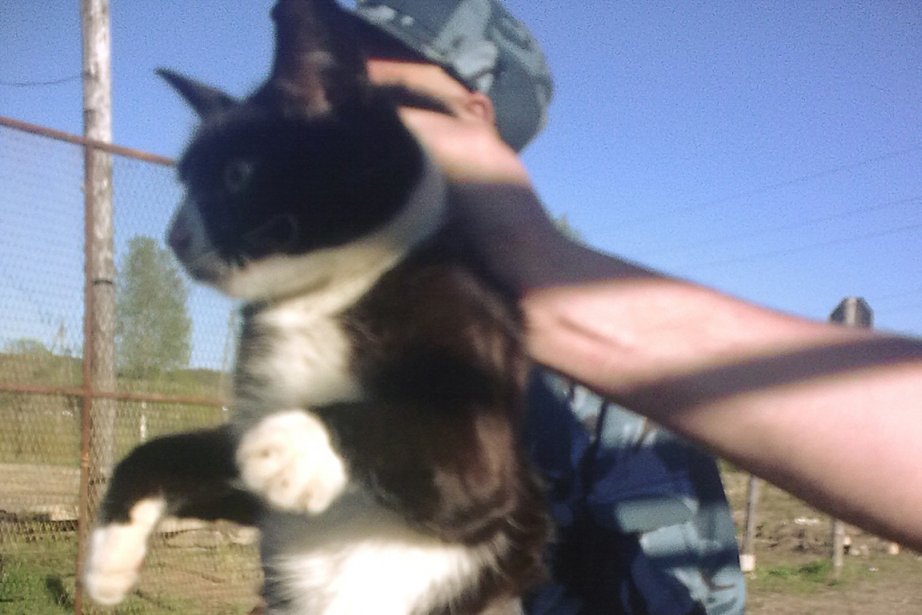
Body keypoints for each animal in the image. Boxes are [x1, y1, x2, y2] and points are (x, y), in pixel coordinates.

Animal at [82, 2, 548, 612]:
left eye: (237, 174)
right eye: (185, 182)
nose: (175, 235)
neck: (320, 298)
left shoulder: (489, 460)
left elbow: (409, 425)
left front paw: (292, 444)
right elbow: (160, 451)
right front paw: (109, 554)